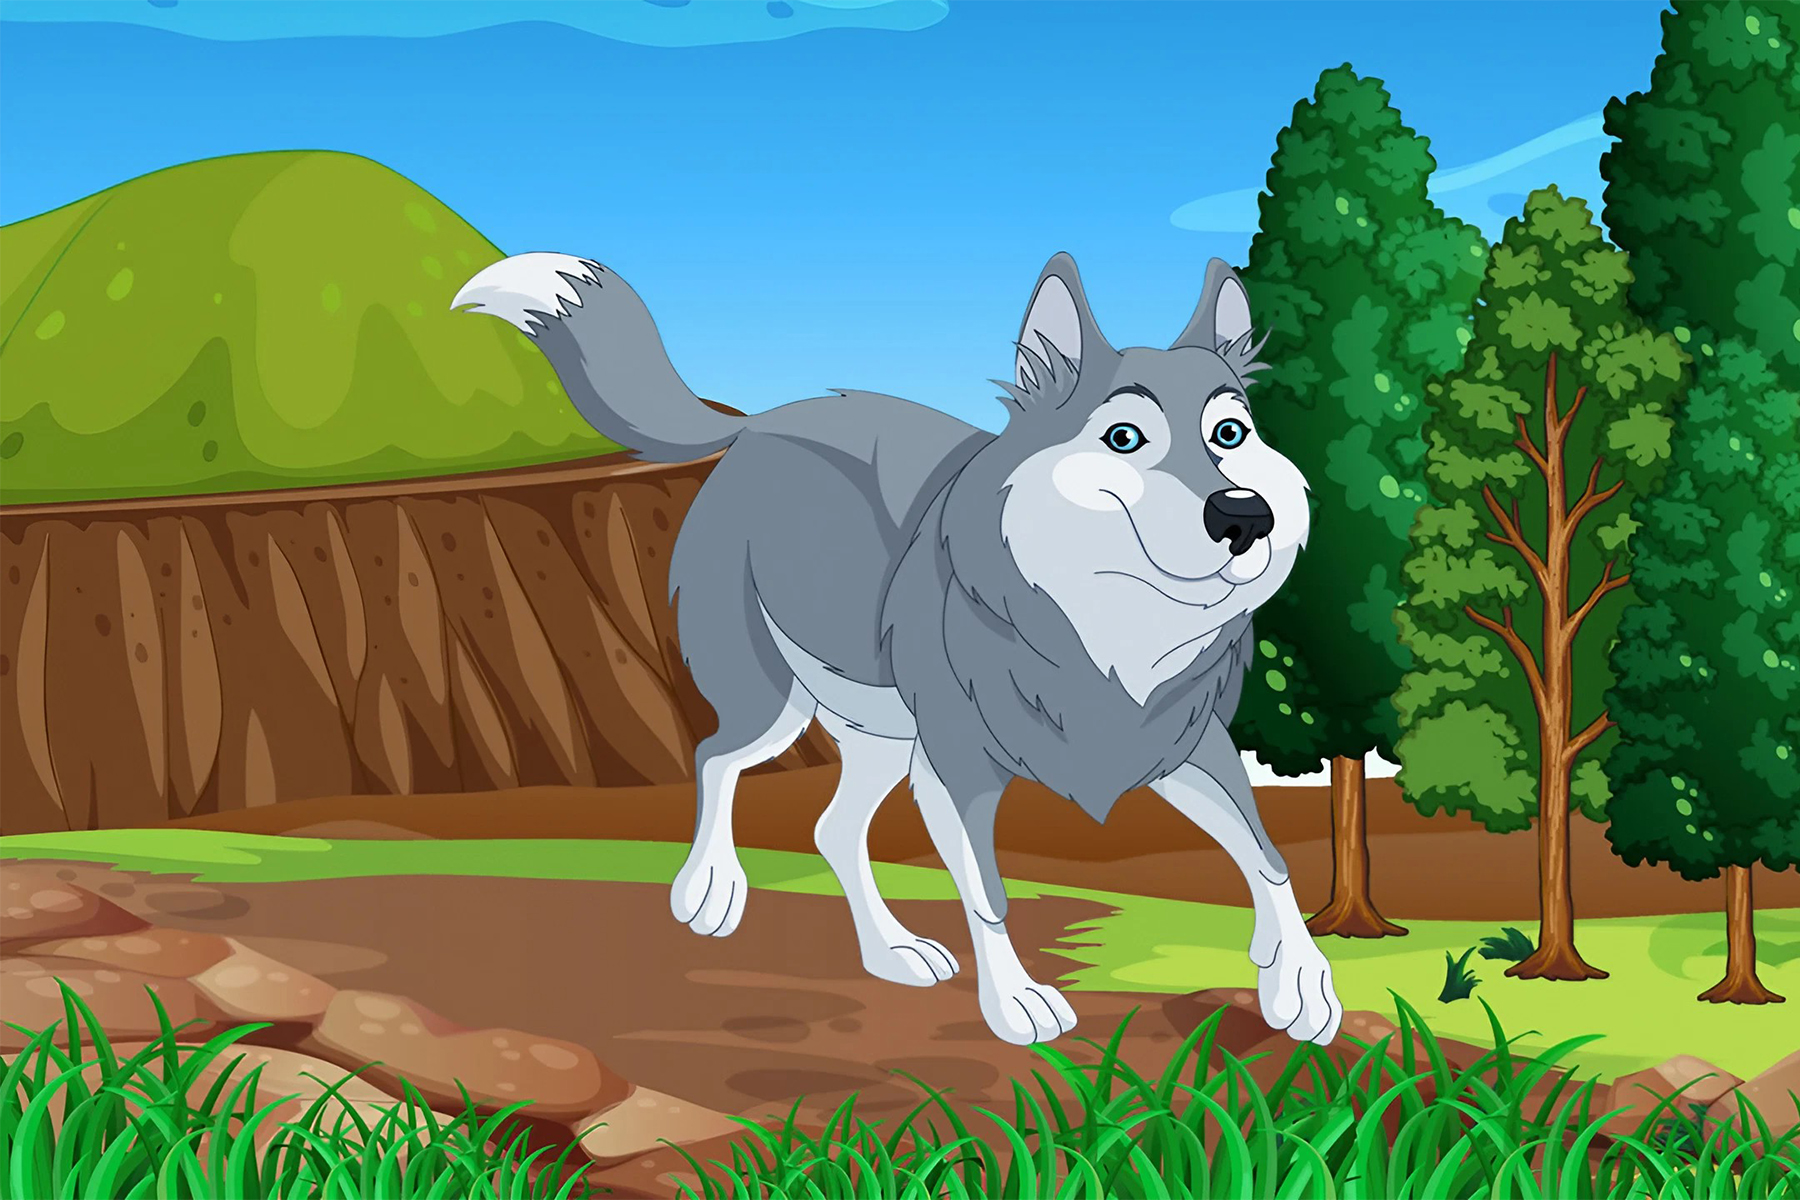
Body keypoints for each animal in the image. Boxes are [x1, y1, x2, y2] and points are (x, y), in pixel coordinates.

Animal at [453, 252, 1343, 1047]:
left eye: (1230, 433)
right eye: (1123, 437)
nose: (1245, 516)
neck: (1102, 624)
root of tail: (760, 420)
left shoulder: (1185, 747)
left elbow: (1267, 857)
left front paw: (1297, 981)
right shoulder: (959, 768)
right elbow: (989, 893)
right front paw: (1016, 1003)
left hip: (886, 736)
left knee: (831, 830)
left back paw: (891, 951)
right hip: (778, 704)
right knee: (715, 757)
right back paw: (709, 888)